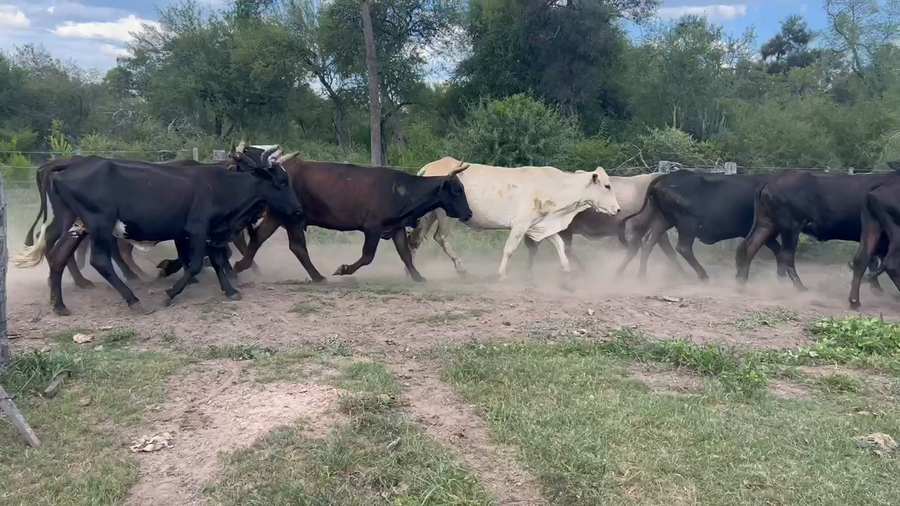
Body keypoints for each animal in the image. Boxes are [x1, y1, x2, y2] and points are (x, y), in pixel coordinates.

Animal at [12, 148, 302, 316]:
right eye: (281, 181)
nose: (298, 209)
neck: (222, 186)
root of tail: (69, 165)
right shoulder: (196, 230)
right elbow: (195, 264)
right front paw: (171, 293)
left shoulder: (213, 233)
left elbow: (219, 262)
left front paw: (230, 290)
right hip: (99, 225)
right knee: (99, 261)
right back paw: (133, 299)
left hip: (76, 224)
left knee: (58, 257)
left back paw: (59, 305)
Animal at [230, 158, 473, 282]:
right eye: (457, 190)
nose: (469, 214)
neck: (401, 191)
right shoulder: (373, 228)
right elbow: (367, 256)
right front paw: (344, 269)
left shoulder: (395, 228)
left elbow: (405, 254)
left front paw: (418, 277)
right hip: (293, 217)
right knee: (297, 246)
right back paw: (318, 276)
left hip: (276, 216)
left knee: (259, 238)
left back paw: (241, 266)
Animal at [407, 157, 621, 280]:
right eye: (607, 185)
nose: (618, 209)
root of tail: (431, 166)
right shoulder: (521, 224)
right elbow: (509, 249)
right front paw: (501, 273)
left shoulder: (540, 224)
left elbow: (559, 243)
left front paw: (566, 268)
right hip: (445, 216)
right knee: (440, 237)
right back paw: (460, 268)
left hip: (428, 215)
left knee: (415, 240)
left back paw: (411, 271)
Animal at [616, 171, 787, 281]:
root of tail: (664, 177)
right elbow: (777, 250)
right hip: (688, 223)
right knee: (683, 248)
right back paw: (702, 275)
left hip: (662, 221)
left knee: (648, 245)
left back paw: (641, 275)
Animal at [735, 170, 895, 291]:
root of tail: (770, 181)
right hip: (790, 228)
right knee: (787, 256)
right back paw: (800, 287)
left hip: (766, 224)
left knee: (749, 246)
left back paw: (741, 282)